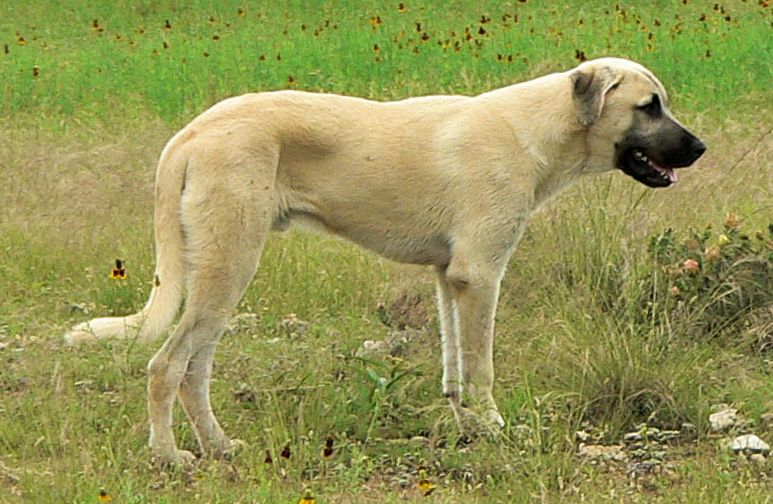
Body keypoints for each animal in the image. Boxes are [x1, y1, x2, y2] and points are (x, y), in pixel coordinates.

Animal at [66, 58, 704, 464]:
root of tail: (193, 132)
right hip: (227, 269)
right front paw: (496, 429)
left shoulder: (450, 278)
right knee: (164, 368)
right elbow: (481, 368)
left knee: (194, 372)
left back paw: (219, 448)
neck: (537, 130)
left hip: (222, 280)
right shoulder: (481, 276)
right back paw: (169, 456)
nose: (700, 148)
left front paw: (467, 429)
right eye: (649, 106)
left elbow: (454, 373)